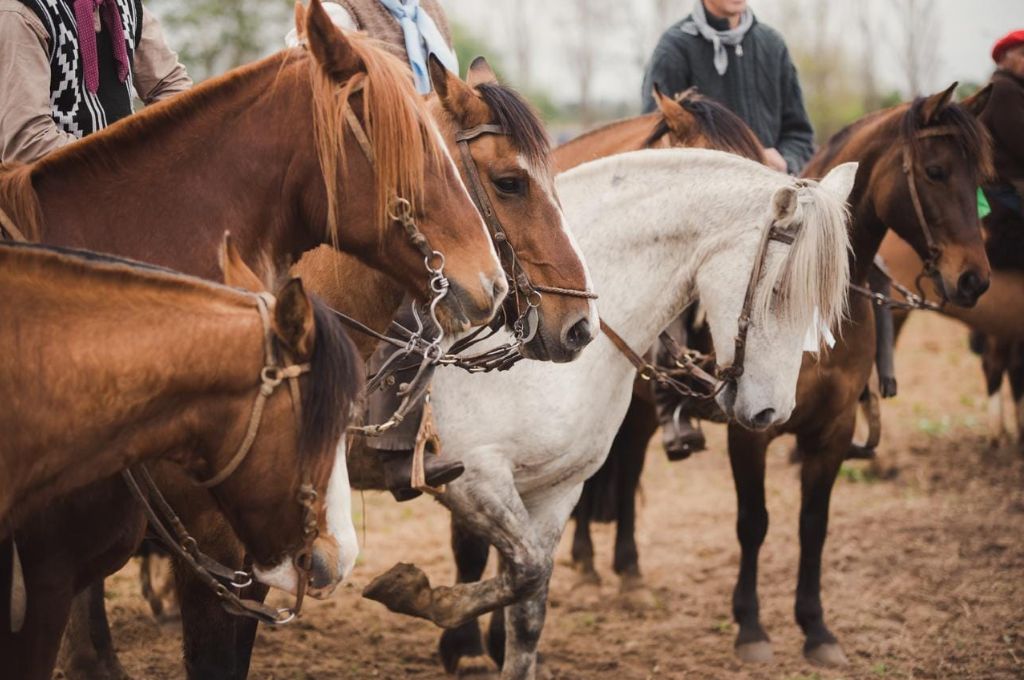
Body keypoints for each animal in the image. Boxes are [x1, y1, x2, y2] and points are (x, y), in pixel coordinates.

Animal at [358, 148, 856, 679]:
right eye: (779, 291)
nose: (771, 413)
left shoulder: (555, 490)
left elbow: (529, 600)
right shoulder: (475, 478)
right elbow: (519, 569)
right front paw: (417, 596)